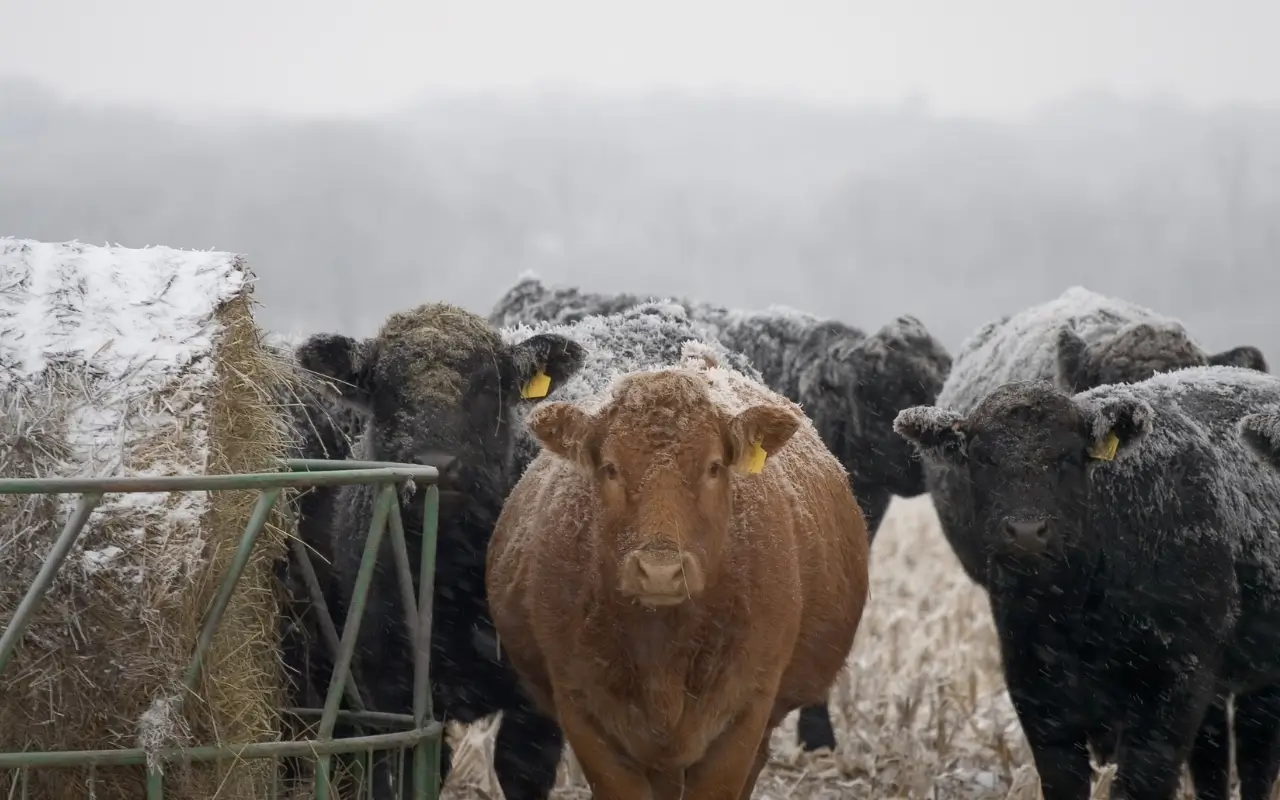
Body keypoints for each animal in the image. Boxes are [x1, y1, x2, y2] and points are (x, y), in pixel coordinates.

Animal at [487, 349, 870, 800]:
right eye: (611, 467)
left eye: (714, 466)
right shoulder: (582, 712)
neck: (664, 650)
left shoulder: (745, 713)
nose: (660, 571)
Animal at [894, 365, 1280, 800]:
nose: (1026, 532)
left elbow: (1141, 784)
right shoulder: (1035, 686)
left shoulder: (1174, 688)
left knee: (1256, 760)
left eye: (1067, 457)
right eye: (983, 458)